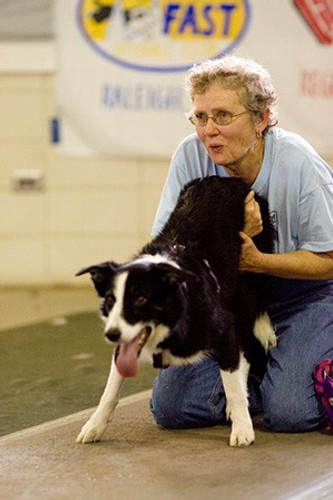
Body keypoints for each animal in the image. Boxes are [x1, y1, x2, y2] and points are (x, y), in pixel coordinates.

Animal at [75, 175, 274, 446]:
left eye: (141, 298)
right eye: (109, 300)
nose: (111, 335)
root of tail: (230, 180)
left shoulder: (222, 328)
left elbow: (232, 382)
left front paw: (242, 429)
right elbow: (110, 390)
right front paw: (94, 426)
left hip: (246, 286)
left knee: (247, 347)